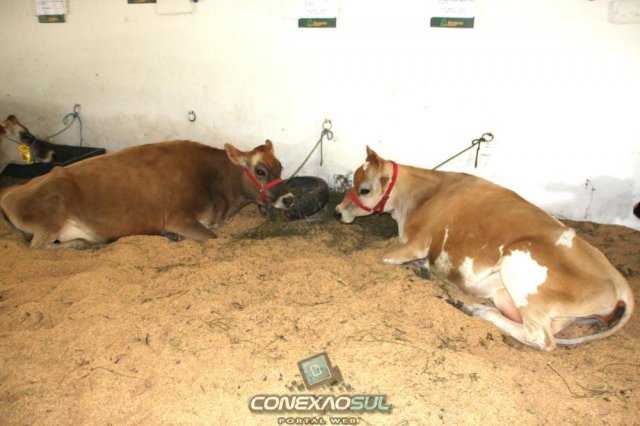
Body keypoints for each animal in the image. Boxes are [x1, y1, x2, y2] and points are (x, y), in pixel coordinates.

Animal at [0, 139, 294, 249]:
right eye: (260, 171)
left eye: (280, 166)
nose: (289, 199)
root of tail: (9, 194)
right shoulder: (178, 217)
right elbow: (211, 236)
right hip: (51, 220)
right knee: (38, 246)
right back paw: (86, 243)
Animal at [334, 146, 634, 351]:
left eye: (363, 189)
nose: (337, 212)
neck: (420, 198)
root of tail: (618, 280)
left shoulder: (416, 244)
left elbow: (382, 258)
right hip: (521, 299)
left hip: (519, 264)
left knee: (541, 338)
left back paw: (477, 310)